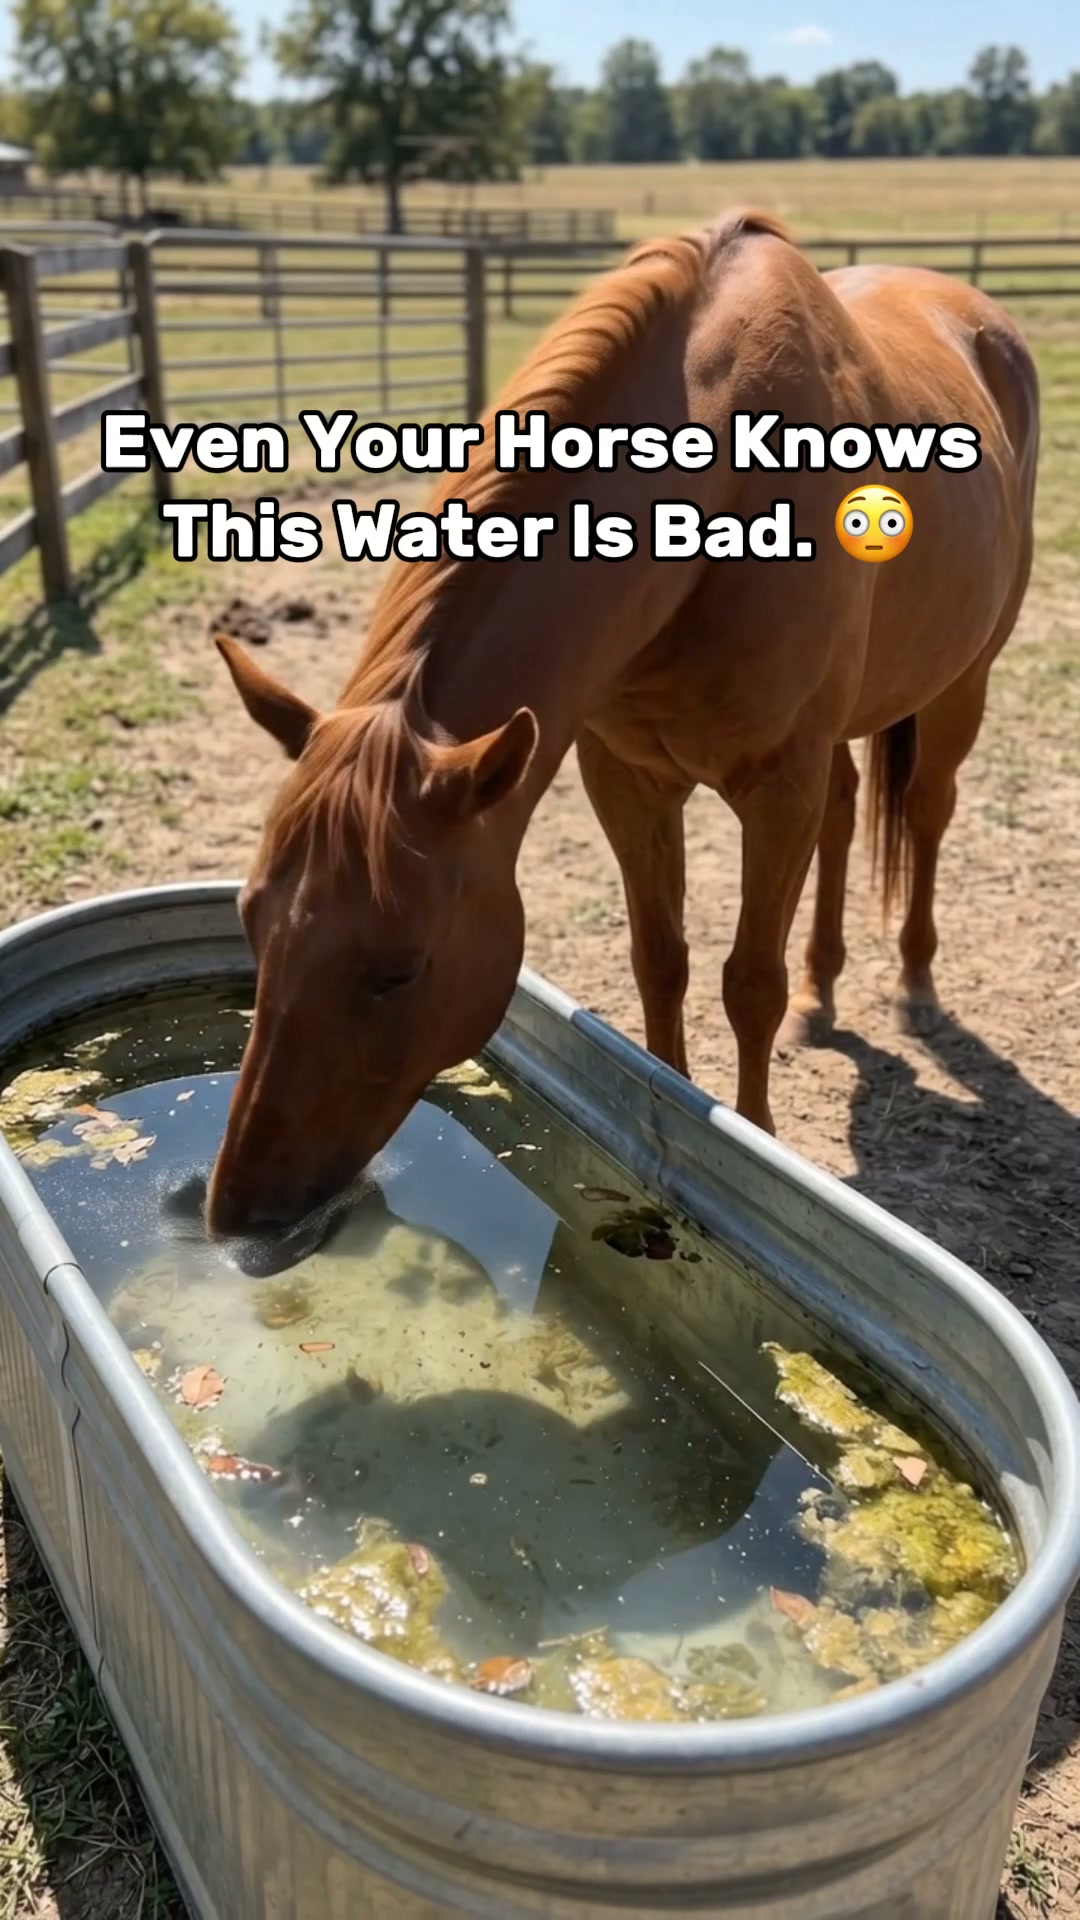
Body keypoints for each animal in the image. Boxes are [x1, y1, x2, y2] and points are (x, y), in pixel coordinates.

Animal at [205, 206, 1039, 1242]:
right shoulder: (626, 779)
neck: (722, 496)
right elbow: (660, 963)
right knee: (848, 813)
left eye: (397, 970)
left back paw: (914, 983)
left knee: (924, 810)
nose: (237, 1212)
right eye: (250, 919)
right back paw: (825, 987)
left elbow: (746, 984)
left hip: (965, 682)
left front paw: (757, 1140)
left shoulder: (777, 787)